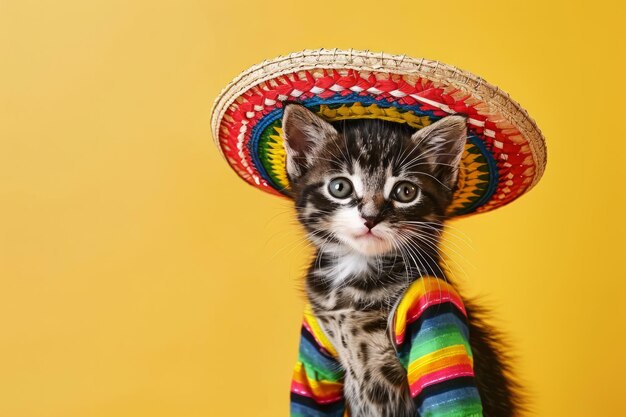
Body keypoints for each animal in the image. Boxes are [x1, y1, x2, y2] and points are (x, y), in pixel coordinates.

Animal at [280, 104, 520, 416]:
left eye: (406, 192)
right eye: (340, 187)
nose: (370, 217)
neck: (357, 274)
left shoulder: (434, 314)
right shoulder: (317, 343)